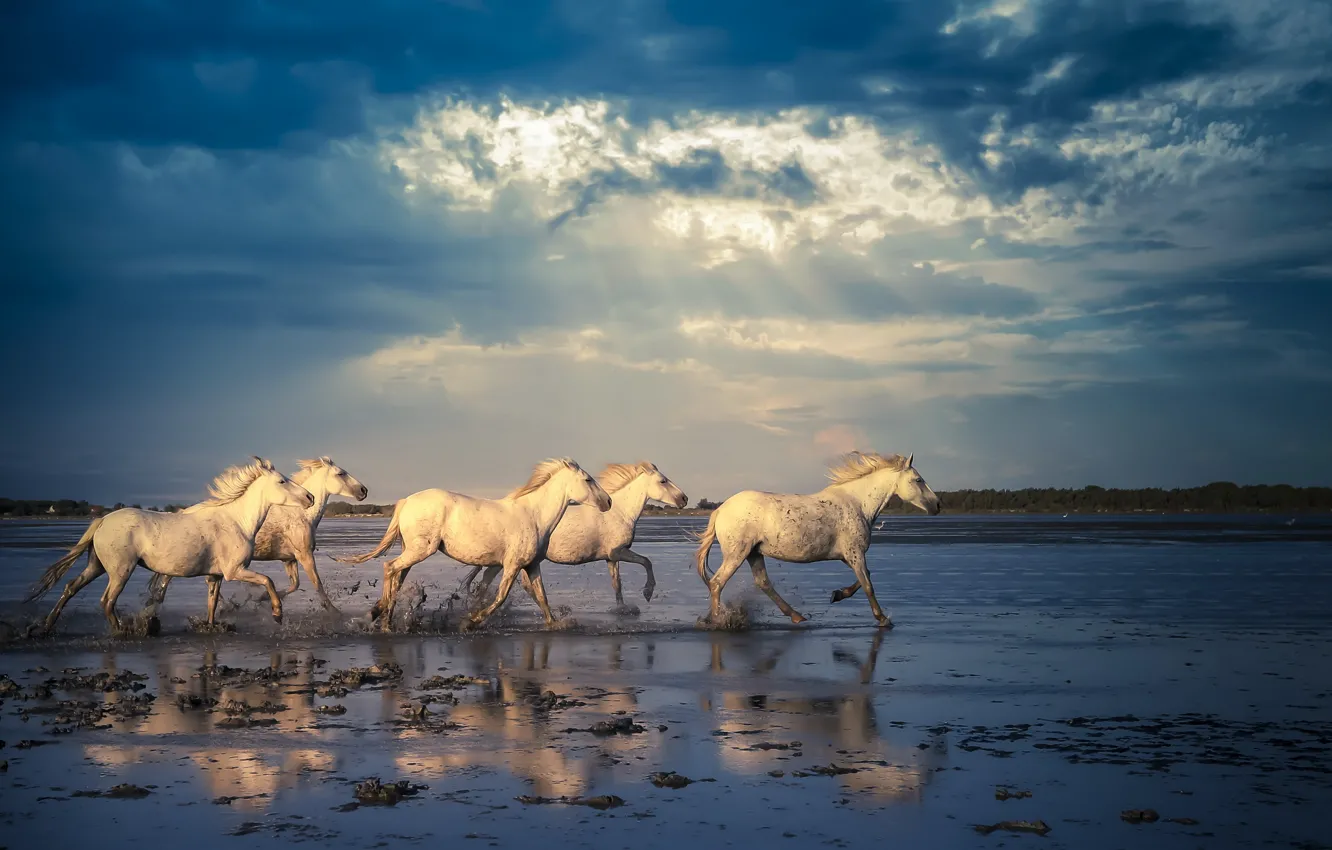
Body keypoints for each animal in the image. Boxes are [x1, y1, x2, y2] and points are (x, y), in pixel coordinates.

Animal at [26, 457, 315, 636]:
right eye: (281, 481)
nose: (310, 497)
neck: (236, 521)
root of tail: (103, 520)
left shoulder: (216, 576)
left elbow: (212, 604)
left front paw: (210, 626)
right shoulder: (235, 571)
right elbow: (268, 580)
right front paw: (277, 614)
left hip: (96, 566)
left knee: (70, 587)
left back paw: (46, 627)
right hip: (120, 570)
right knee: (107, 601)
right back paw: (123, 632)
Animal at [146, 456, 368, 614]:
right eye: (341, 473)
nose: (363, 490)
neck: (300, 514)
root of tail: (183, 512)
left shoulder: (289, 559)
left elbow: (294, 585)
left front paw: (263, 599)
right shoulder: (305, 555)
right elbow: (317, 585)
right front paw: (335, 613)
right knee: (167, 579)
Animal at [335, 458, 612, 631]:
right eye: (588, 480)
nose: (608, 502)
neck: (533, 516)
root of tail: (406, 501)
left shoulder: (531, 565)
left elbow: (542, 598)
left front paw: (555, 624)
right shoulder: (512, 565)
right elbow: (500, 597)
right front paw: (470, 622)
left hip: (412, 551)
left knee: (397, 576)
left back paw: (382, 615)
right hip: (420, 550)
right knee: (389, 567)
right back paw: (383, 620)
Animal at [461, 461, 687, 606]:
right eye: (663, 481)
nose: (684, 499)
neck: (620, 512)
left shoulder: (611, 558)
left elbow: (617, 584)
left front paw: (623, 609)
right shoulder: (618, 552)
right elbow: (646, 561)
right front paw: (647, 593)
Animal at [693, 451, 940, 628]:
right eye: (918, 479)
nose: (937, 505)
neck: (857, 504)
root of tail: (720, 510)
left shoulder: (848, 556)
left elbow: (864, 579)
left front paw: (837, 595)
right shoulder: (855, 553)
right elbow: (868, 585)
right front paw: (882, 619)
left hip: (754, 553)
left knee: (762, 583)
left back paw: (796, 616)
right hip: (737, 553)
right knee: (717, 583)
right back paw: (717, 621)